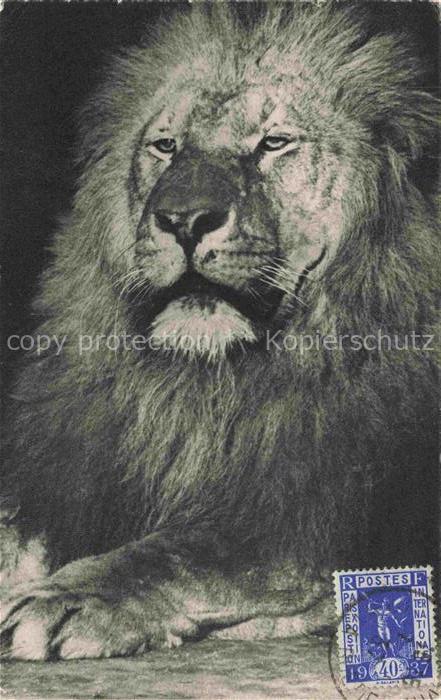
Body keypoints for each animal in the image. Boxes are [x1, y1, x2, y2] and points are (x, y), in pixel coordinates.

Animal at [1, 4, 439, 661]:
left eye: (274, 143)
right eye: (166, 146)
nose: (184, 220)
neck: (210, 387)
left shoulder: (305, 529)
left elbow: (181, 553)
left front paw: (68, 598)